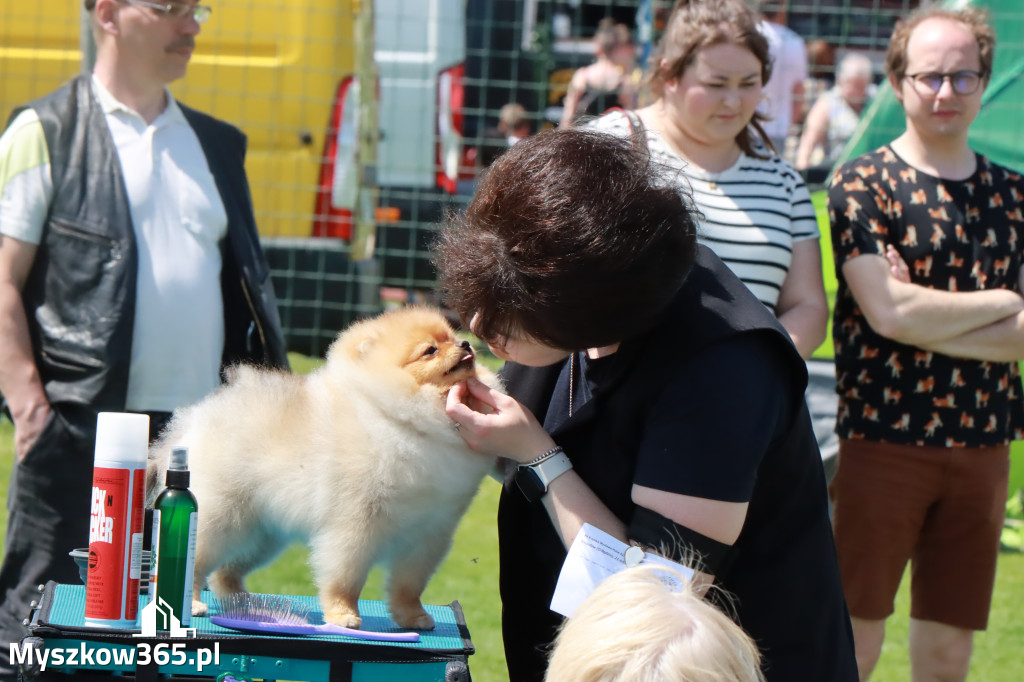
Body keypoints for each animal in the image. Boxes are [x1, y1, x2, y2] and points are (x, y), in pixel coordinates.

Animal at [149, 307, 501, 626]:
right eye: (430, 350)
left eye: (452, 337)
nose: (466, 344)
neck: (406, 423)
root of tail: (195, 420)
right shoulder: (356, 522)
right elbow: (346, 575)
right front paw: (343, 615)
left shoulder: (431, 531)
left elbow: (410, 584)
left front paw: (413, 616)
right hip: (223, 516)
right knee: (196, 559)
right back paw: (194, 603)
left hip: (262, 532)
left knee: (226, 571)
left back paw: (245, 602)